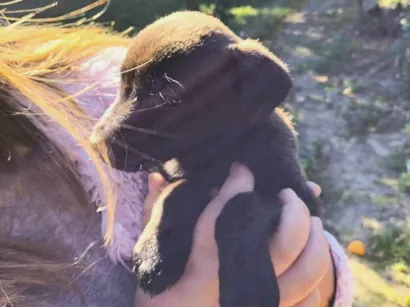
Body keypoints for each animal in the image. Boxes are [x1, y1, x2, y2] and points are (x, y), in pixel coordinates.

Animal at [91, 10, 322, 307]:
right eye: (122, 86)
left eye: (168, 97)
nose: (95, 145)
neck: (222, 154)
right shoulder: (177, 177)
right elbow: (179, 190)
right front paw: (155, 253)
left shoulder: (301, 200)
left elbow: (240, 205)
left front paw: (248, 288)